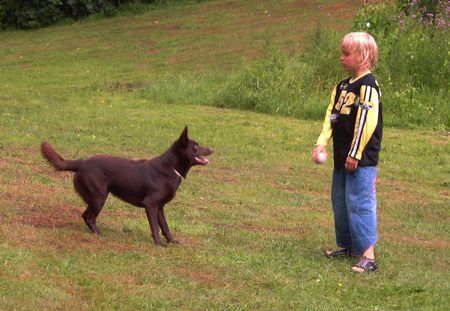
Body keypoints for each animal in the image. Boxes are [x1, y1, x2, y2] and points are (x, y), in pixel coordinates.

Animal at [40, 127, 213, 246]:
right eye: (195, 147)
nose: (212, 149)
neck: (171, 167)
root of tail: (81, 163)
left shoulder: (160, 207)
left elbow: (165, 226)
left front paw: (172, 241)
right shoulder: (150, 205)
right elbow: (155, 227)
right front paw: (158, 244)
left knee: (85, 215)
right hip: (99, 197)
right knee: (88, 216)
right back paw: (98, 233)